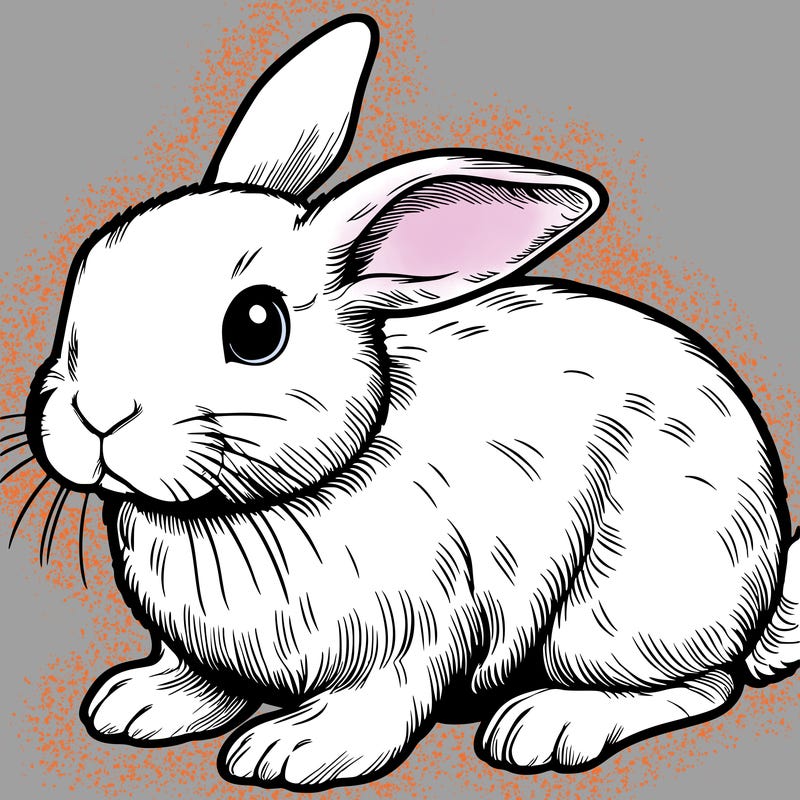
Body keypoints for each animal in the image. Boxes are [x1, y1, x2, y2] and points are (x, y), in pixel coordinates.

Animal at [22, 12, 800, 792]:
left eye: (256, 326)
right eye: (86, 271)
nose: (97, 413)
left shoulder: (418, 631)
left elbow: (378, 703)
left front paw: (292, 750)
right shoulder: (204, 650)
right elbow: (201, 680)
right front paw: (137, 704)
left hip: (622, 612)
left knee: (703, 685)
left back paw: (547, 724)